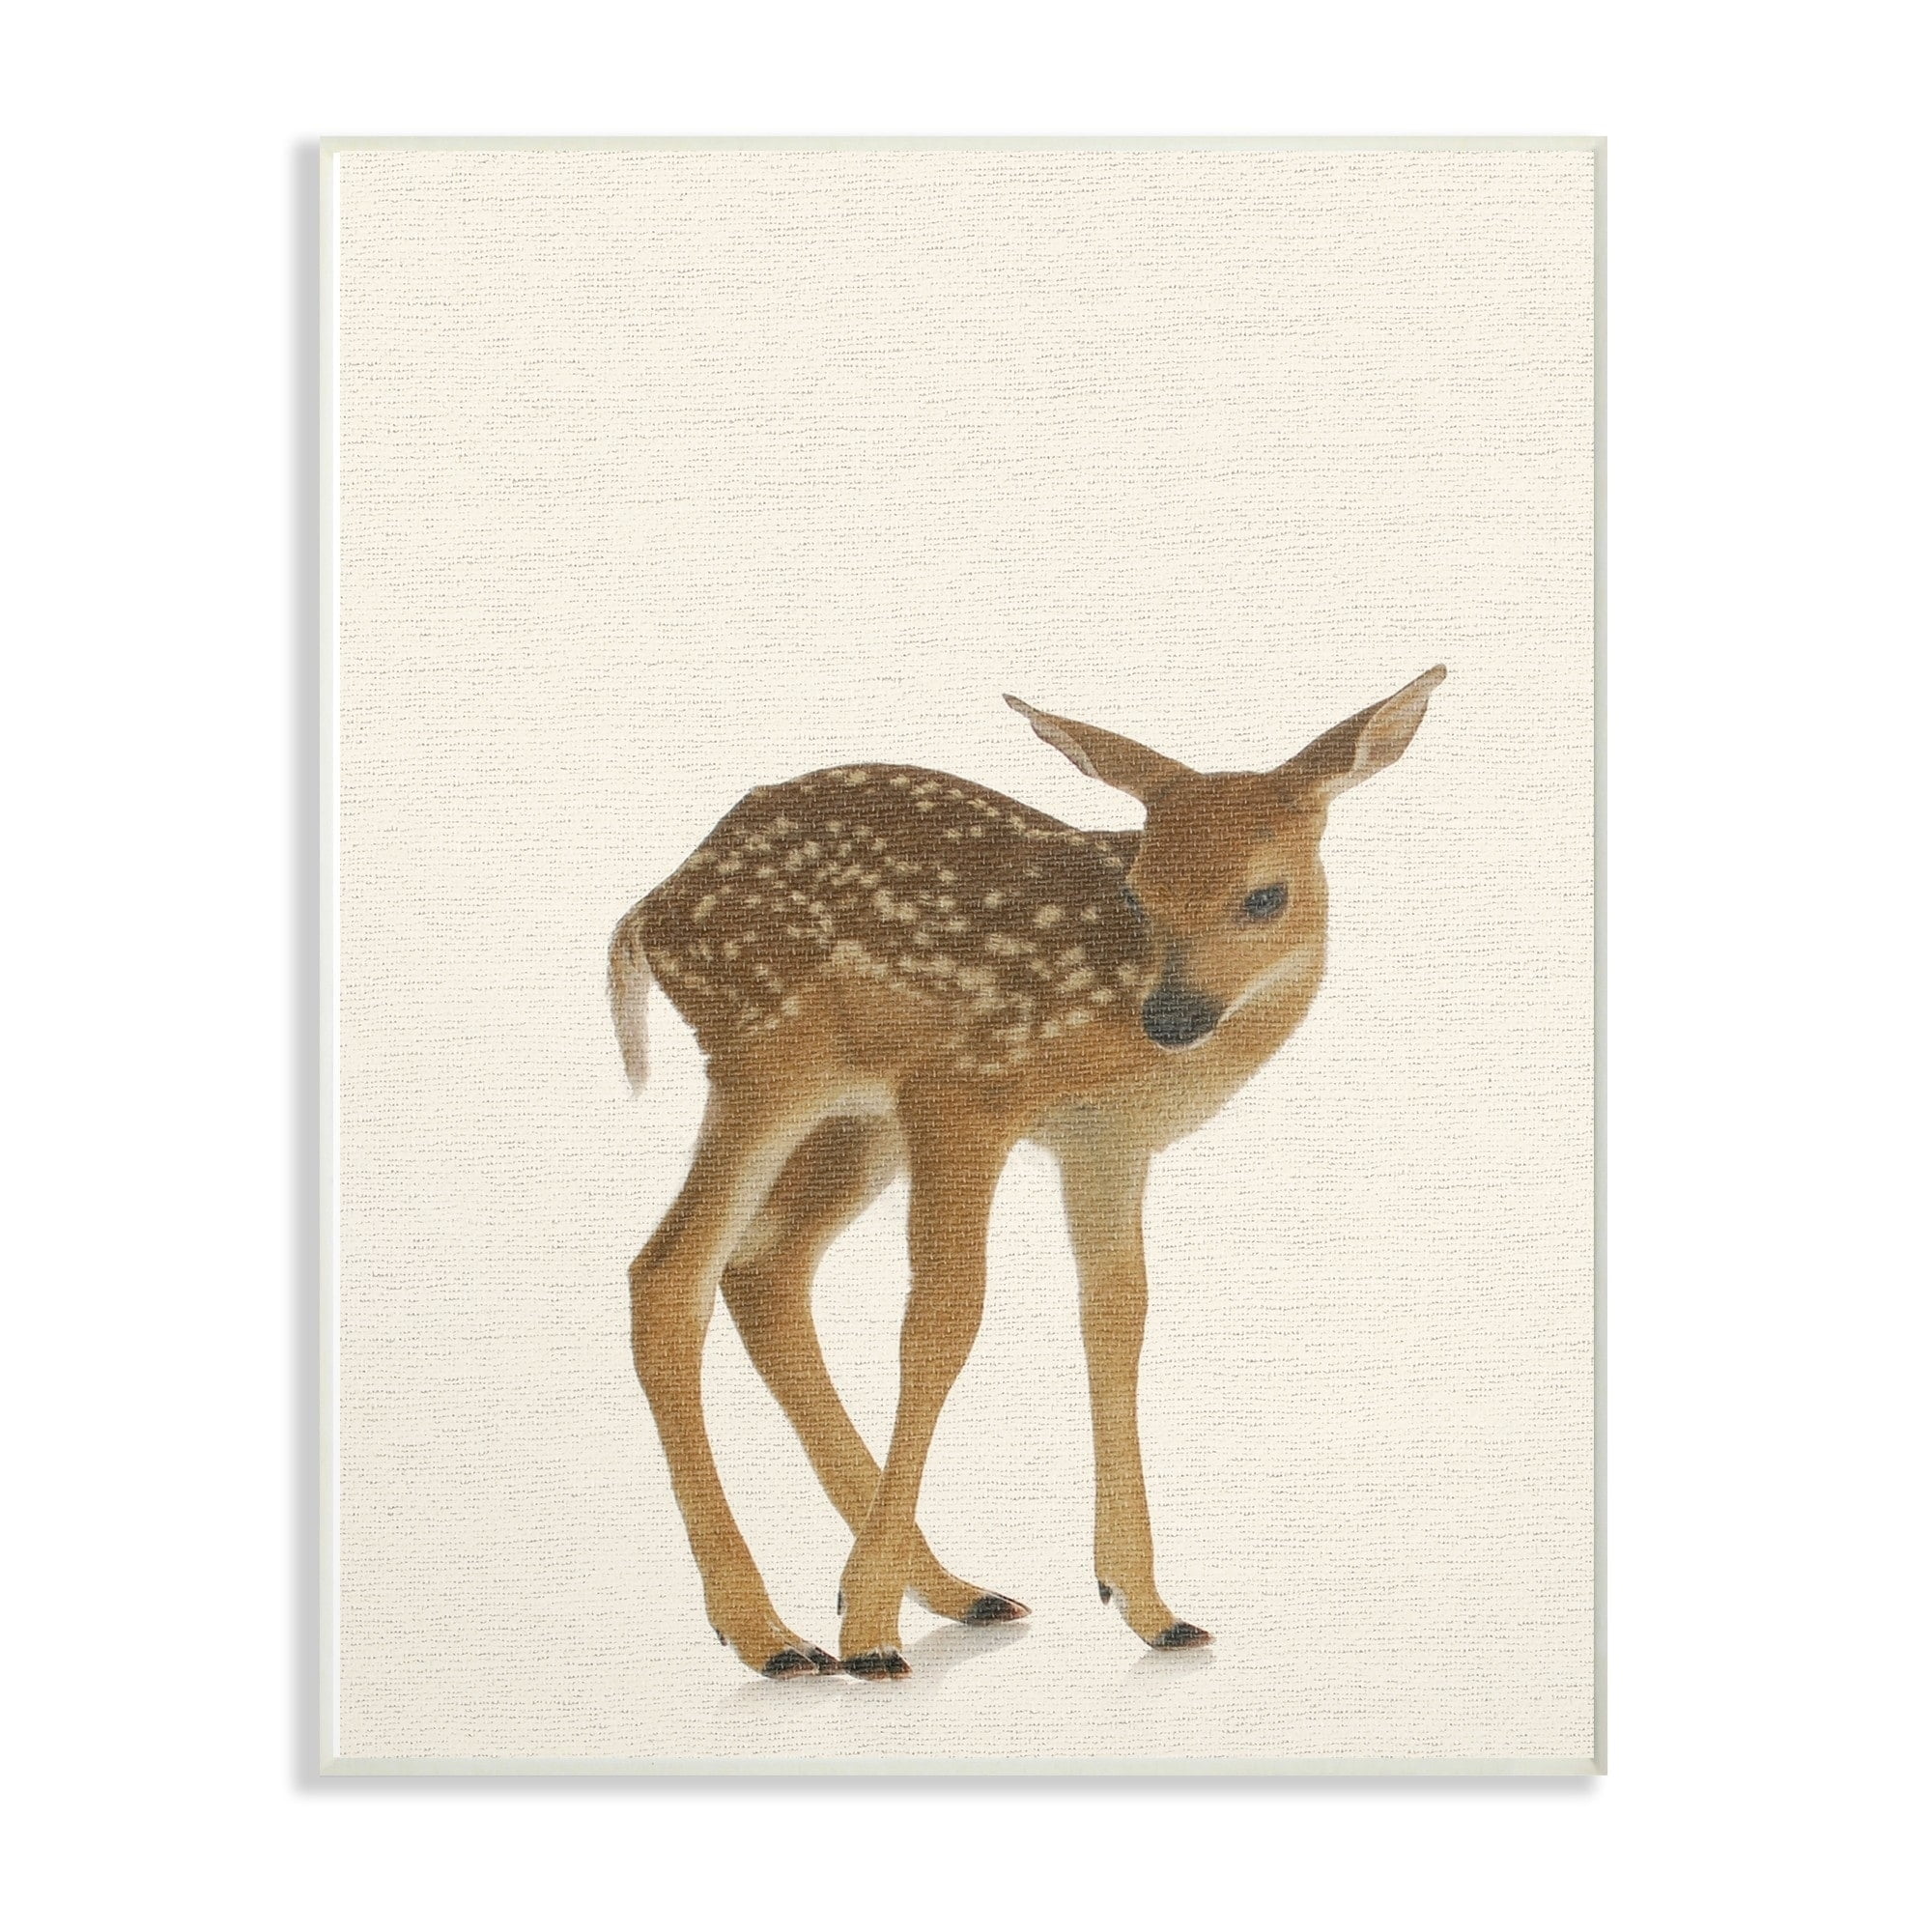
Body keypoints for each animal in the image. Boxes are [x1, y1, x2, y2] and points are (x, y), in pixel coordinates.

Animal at [609, 667, 1446, 1680]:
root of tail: (648, 912)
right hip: (769, 1059)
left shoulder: (1104, 1144)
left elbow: (1116, 1321)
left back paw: (951, 1591)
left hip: (856, 1116)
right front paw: (869, 1629)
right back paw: (773, 1633)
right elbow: (943, 1321)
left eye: (1264, 896)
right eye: (1139, 892)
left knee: (764, 1265)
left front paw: (1150, 1607)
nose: (1172, 1017)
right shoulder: (965, 1092)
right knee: (669, 1273)